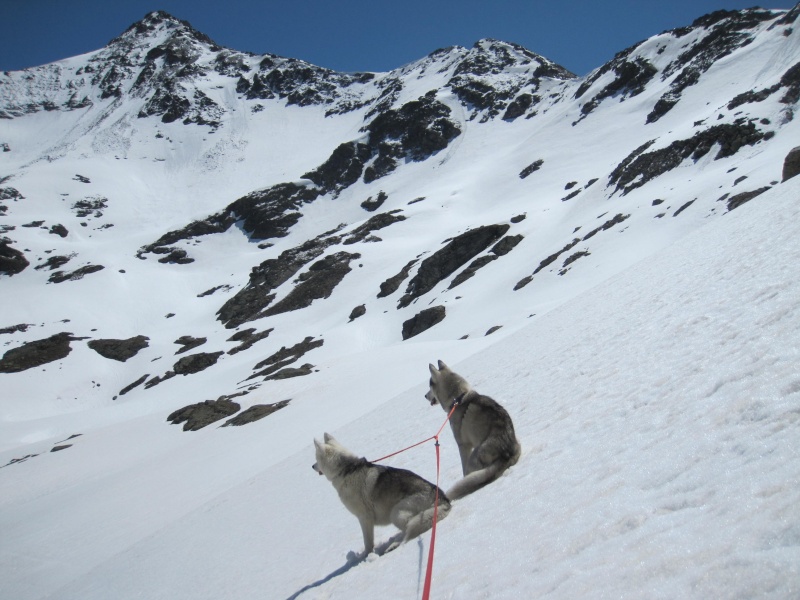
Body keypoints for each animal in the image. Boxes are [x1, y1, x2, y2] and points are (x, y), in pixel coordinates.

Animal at [312, 434, 450, 556]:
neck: (346, 470)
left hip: (396, 513)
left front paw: (366, 557)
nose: (312, 466)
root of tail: (444, 500)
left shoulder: (364, 518)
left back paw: (394, 545)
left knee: (408, 532)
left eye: (316, 458)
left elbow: (368, 543)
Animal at [424, 360, 520, 502]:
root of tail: (507, 453)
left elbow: (463, 469)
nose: (425, 395)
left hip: (473, 457)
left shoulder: (463, 445)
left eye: (429, 386)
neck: (458, 398)